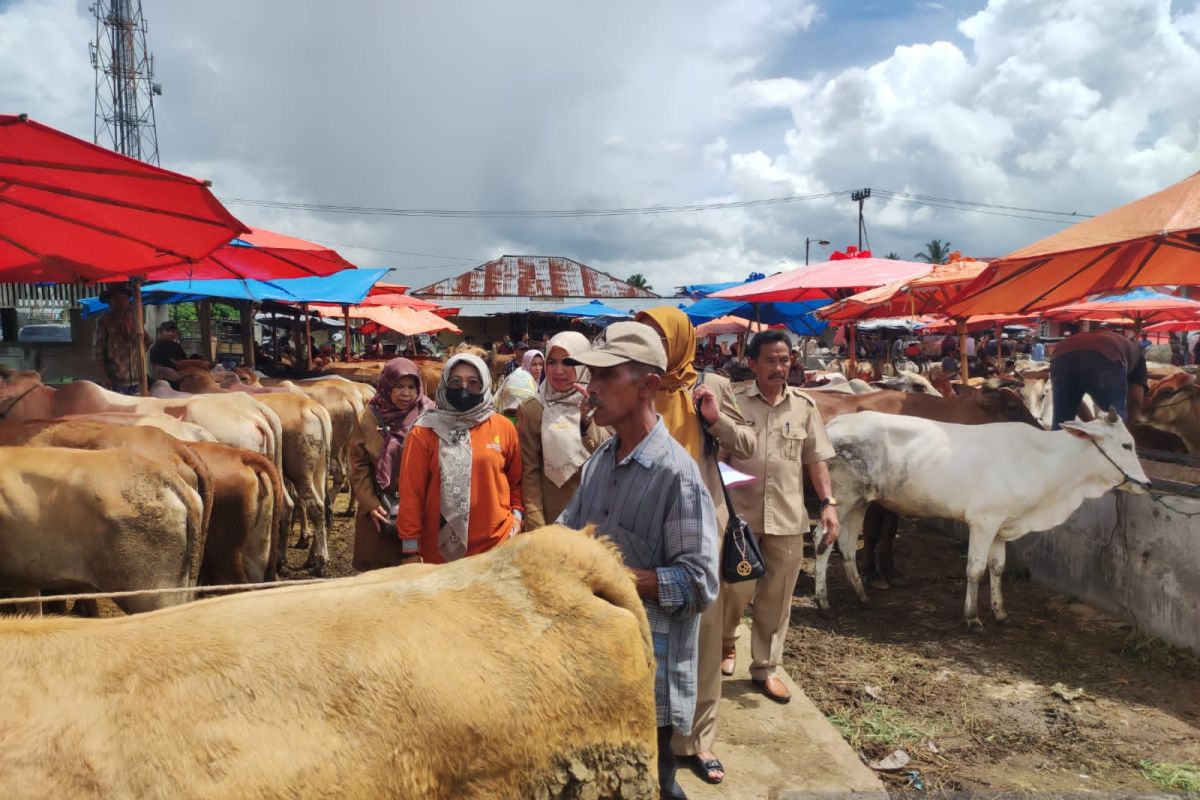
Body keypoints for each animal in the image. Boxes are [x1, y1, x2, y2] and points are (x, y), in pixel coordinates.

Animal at [820, 410, 1147, 628]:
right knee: (823, 542)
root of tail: (833, 423)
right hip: (841, 499)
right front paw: (973, 617)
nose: (1147, 484)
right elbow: (975, 569)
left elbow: (997, 567)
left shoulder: (1002, 526)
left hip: (860, 502)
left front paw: (1000, 612)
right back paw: (822, 599)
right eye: (1127, 445)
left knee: (847, 546)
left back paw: (862, 596)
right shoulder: (983, 521)